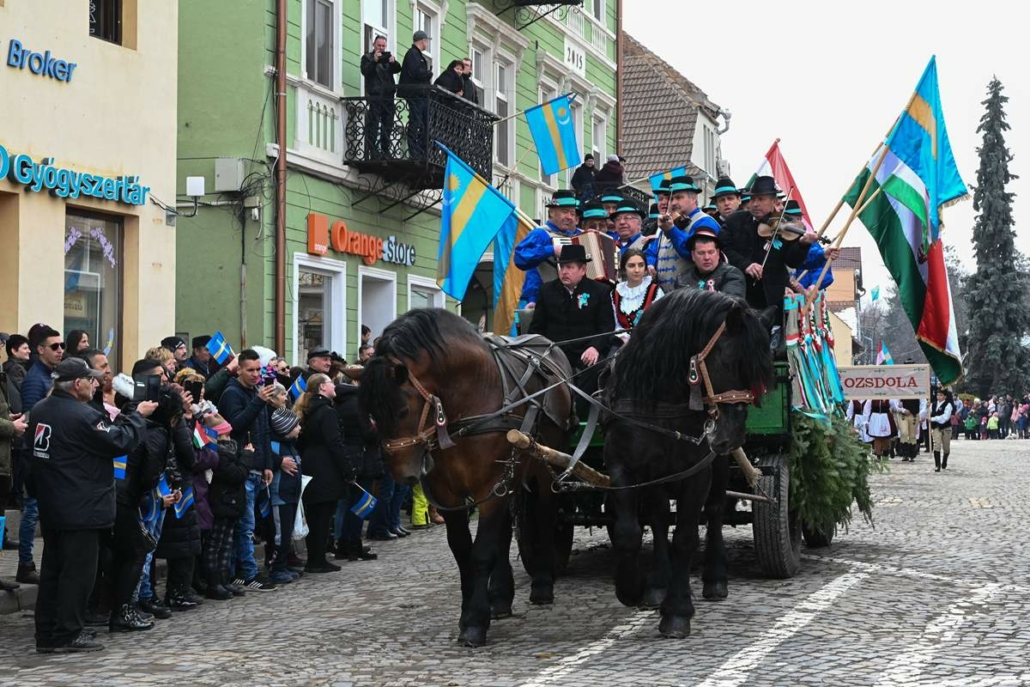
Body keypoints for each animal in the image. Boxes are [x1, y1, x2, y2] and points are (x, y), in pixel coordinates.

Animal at [358, 308, 576, 646]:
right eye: (371, 413)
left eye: (403, 410)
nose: (402, 474)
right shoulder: (450, 492)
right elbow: (463, 549)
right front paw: (472, 609)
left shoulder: (492, 484)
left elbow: (482, 553)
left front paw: (474, 621)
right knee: (504, 532)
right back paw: (500, 596)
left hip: (543, 468)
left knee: (543, 515)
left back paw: (541, 584)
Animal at [601, 288, 774, 638]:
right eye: (729, 362)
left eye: (761, 376)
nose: (732, 436)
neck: (659, 402)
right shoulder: (625, 468)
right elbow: (631, 531)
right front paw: (631, 588)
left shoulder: (697, 473)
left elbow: (685, 537)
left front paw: (678, 611)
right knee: (658, 518)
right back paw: (658, 584)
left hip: (717, 469)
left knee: (716, 511)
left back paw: (715, 578)